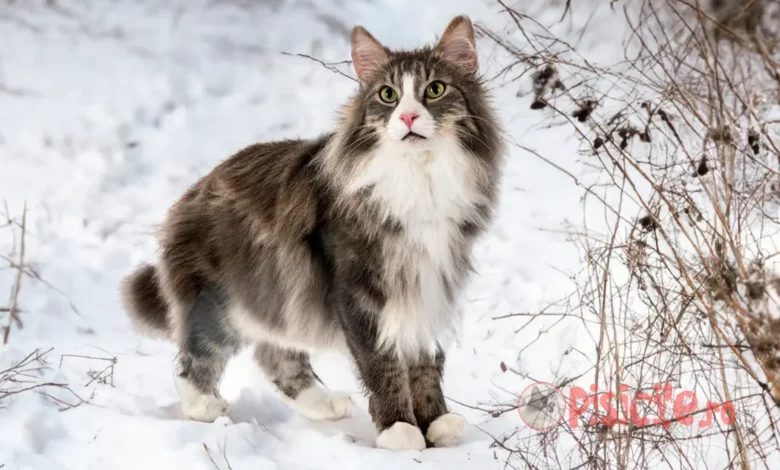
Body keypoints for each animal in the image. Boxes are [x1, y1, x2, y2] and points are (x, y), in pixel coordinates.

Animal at [119, 15, 502, 452]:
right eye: (388, 95)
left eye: (434, 90)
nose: (406, 118)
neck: (420, 177)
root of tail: (187, 197)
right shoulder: (359, 291)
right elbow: (383, 364)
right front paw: (399, 429)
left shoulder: (430, 284)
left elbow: (425, 361)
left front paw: (436, 422)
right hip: (221, 302)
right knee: (195, 357)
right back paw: (205, 407)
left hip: (275, 296)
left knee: (276, 357)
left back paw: (327, 405)